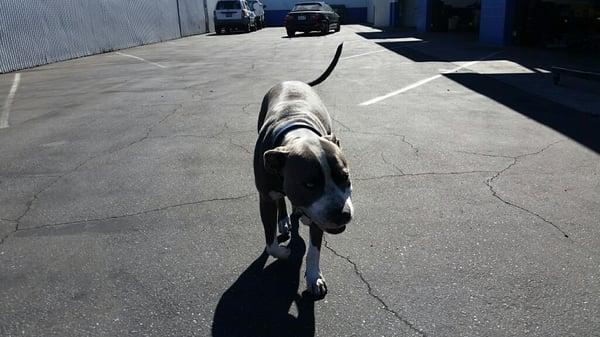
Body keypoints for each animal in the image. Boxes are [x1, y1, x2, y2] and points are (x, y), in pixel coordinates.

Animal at [253, 42, 352, 296]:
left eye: (345, 177)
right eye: (309, 184)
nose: (342, 214)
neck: (298, 133)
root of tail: (294, 81)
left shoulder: (319, 214)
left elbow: (314, 249)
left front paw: (313, 277)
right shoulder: (264, 198)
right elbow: (270, 243)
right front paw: (284, 251)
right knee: (280, 200)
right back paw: (285, 220)